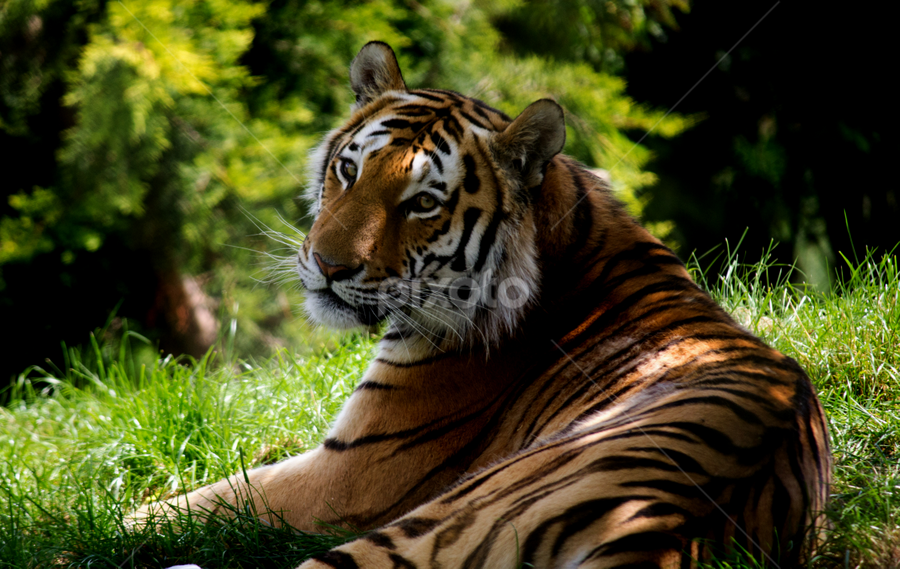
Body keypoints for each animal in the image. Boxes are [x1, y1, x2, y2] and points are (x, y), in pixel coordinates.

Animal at [136, 41, 831, 568]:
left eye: (423, 203)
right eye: (349, 171)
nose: (330, 268)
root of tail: (657, 534)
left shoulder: (345, 476)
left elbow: (193, 504)